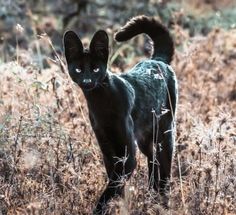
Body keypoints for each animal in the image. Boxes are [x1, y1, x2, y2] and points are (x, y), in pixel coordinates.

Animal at [63, 15, 178, 214]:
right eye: (78, 69)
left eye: (95, 69)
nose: (87, 81)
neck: (100, 103)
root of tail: (158, 60)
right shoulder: (107, 149)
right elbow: (115, 182)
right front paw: (118, 205)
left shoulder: (127, 155)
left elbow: (113, 186)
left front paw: (101, 208)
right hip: (145, 139)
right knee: (153, 161)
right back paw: (151, 195)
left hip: (164, 133)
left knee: (164, 168)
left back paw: (162, 201)